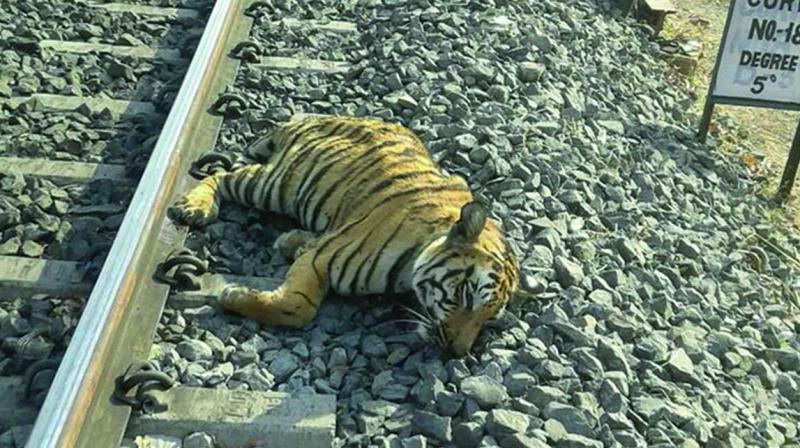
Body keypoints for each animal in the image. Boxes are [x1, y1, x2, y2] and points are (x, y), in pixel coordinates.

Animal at [168, 116, 519, 357]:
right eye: (467, 295)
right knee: (221, 176)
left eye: (489, 319)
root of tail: (310, 116)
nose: (455, 353)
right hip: (276, 184)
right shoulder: (322, 259)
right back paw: (194, 206)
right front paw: (234, 296)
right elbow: (298, 306)